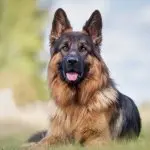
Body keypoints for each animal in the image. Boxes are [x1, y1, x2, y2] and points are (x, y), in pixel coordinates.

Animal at [25, 8, 141, 149]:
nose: (72, 61)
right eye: (65, 47)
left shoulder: (98, 139)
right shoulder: (55, 136)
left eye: (83, 48)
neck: (75, 105)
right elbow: (40, 144)